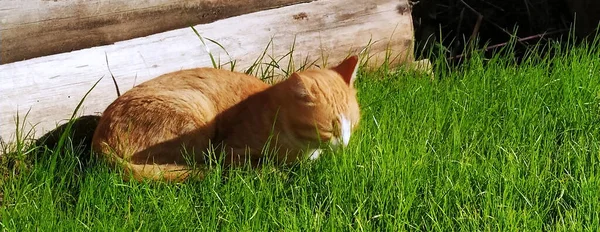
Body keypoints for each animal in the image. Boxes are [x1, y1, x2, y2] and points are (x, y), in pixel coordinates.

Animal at [91, 55, 358, 181]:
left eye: (353, 126)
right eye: (330, 130)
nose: (346, 146)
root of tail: (99, 137)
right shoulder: (228, 151)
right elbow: (254, 164)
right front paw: (271, 171)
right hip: (196, 113)